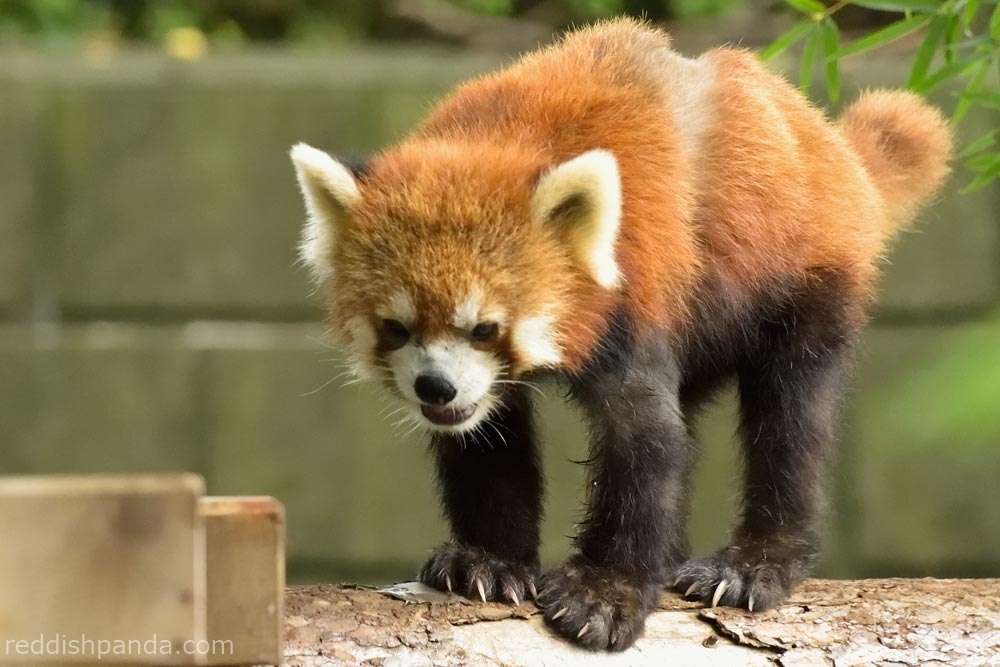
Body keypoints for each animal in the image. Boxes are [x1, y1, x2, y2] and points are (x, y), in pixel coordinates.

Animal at [292, 17, 952, 652]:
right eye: (396, 328)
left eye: (484, 328)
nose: (436, 388)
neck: (505, 136)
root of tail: (828, 147)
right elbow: (489, 439)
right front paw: (489, 561)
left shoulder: (637, 290)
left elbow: (644, 439)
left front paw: (606, 592)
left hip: (804, 277)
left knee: (792, 420)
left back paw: (755, 562)